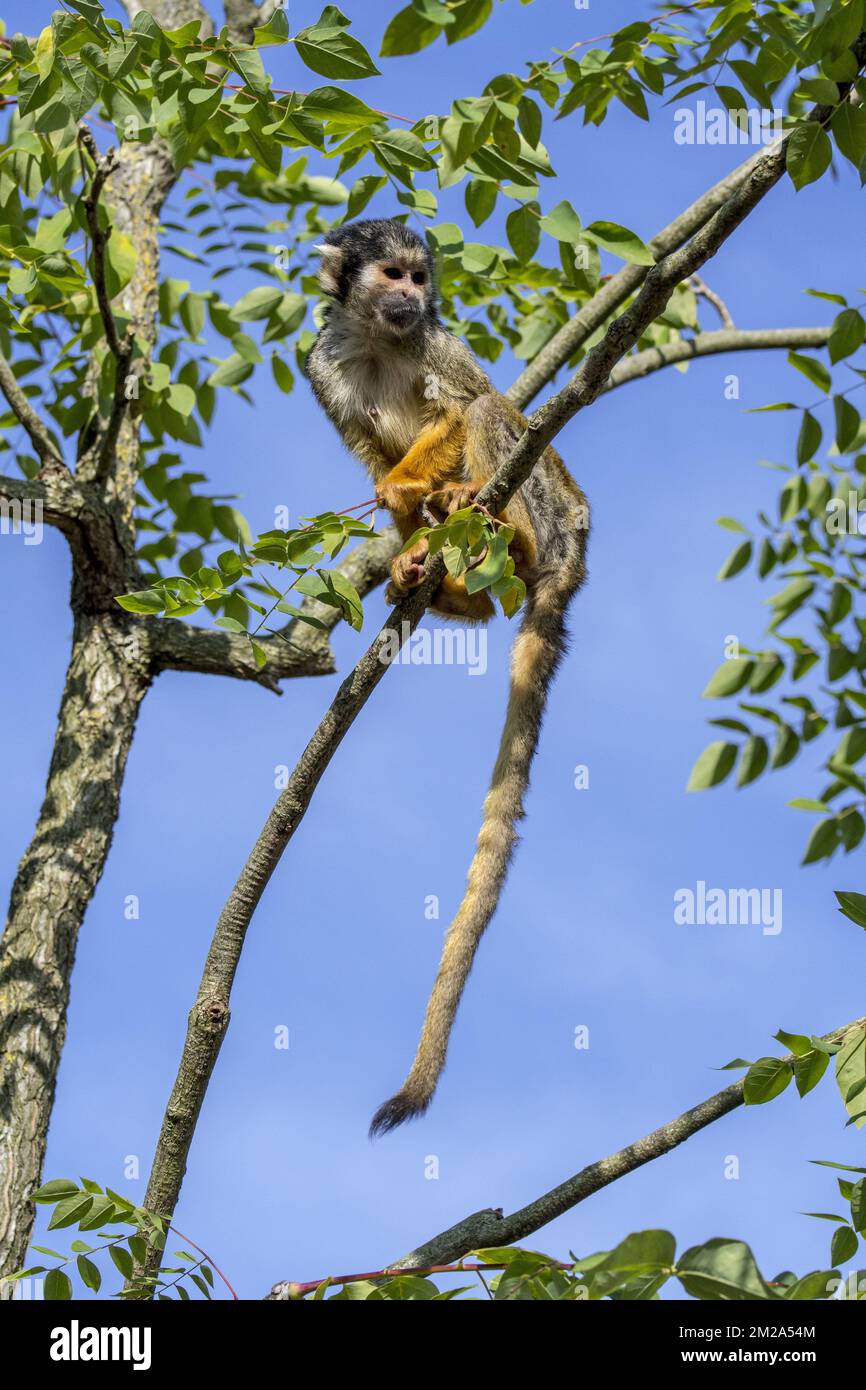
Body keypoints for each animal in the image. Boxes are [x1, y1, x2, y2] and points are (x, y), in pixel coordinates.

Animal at [306, 218, 589, 1136]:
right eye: (389, 274)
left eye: (418, 278)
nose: (412, 298)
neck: (381, 339)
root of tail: (571, 563)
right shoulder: (322, 362)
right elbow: (367, 448)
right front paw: (398, 511)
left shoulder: (438, 344)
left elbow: (466, 407)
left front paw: (405, 488)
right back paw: (446, 581)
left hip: (556, 511)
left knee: (498, 414)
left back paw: (488, 525)